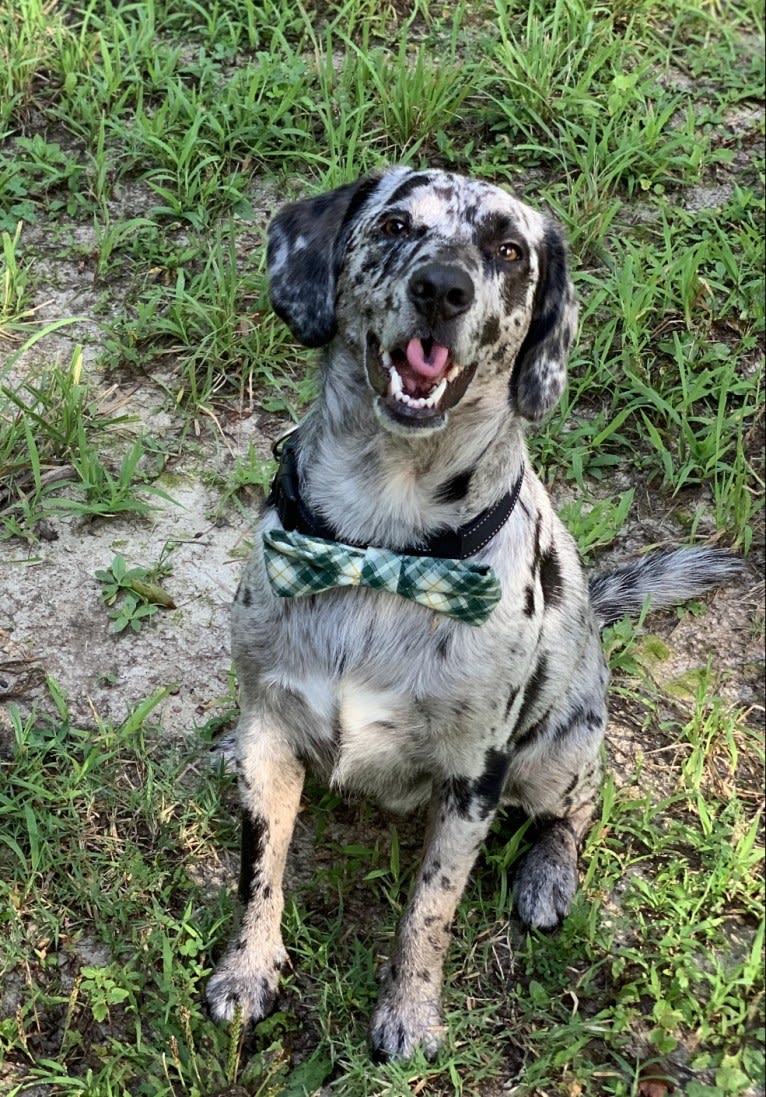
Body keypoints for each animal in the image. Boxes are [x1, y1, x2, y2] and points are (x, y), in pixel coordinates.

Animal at [204, 166, 741, 1057]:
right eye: (394, 225)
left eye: (508, 250)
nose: (441, 288)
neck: (382, 545)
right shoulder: (272, 731)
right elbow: (261, 868)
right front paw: (248, 969)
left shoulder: (473, 779)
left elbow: (430, 908)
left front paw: (410, 1014)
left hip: (557, 751)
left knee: (580, 805)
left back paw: (548, 874)